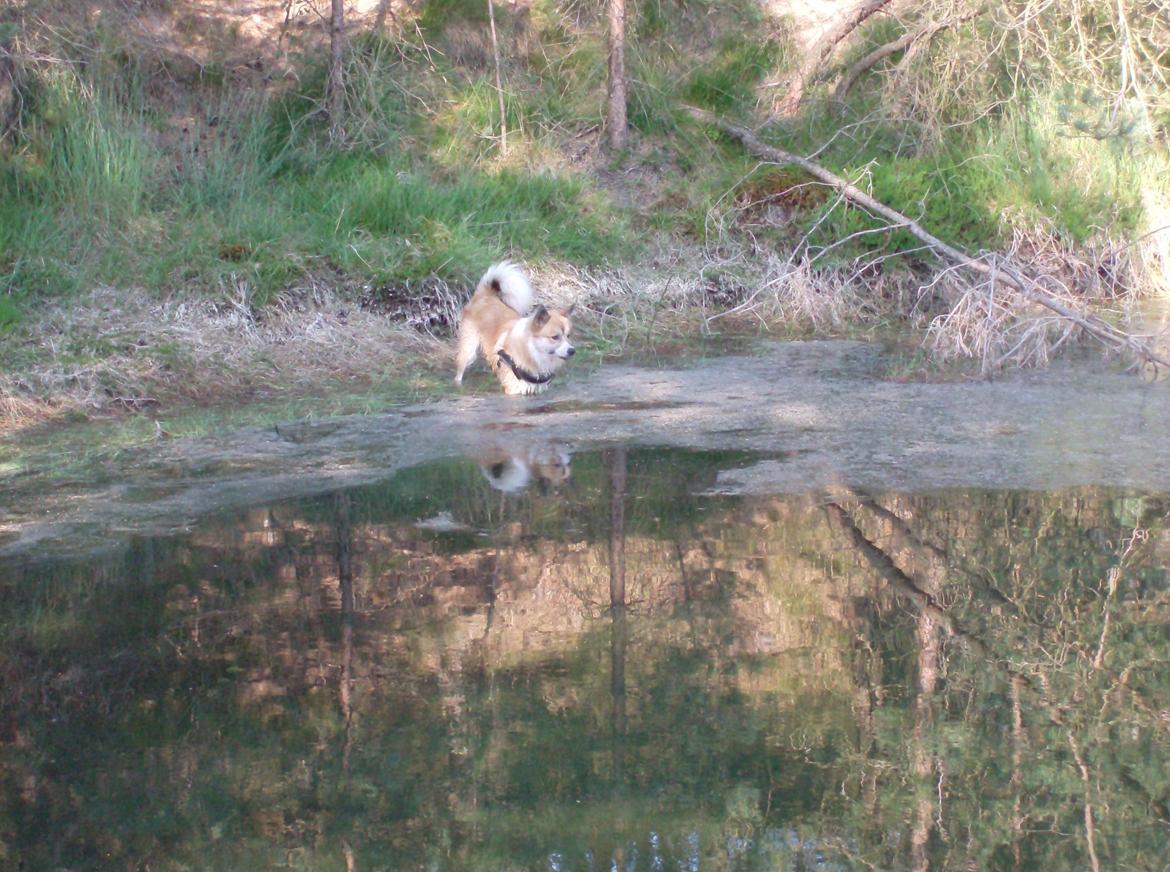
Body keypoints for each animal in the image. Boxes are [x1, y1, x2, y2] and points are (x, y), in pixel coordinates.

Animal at [451, 259, 575, 393]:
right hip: (469, 349)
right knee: (460, 370)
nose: (572, 350)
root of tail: (484, 295)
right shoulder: (513, 390)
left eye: (568, 336)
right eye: (555, 337)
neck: (531, 350)